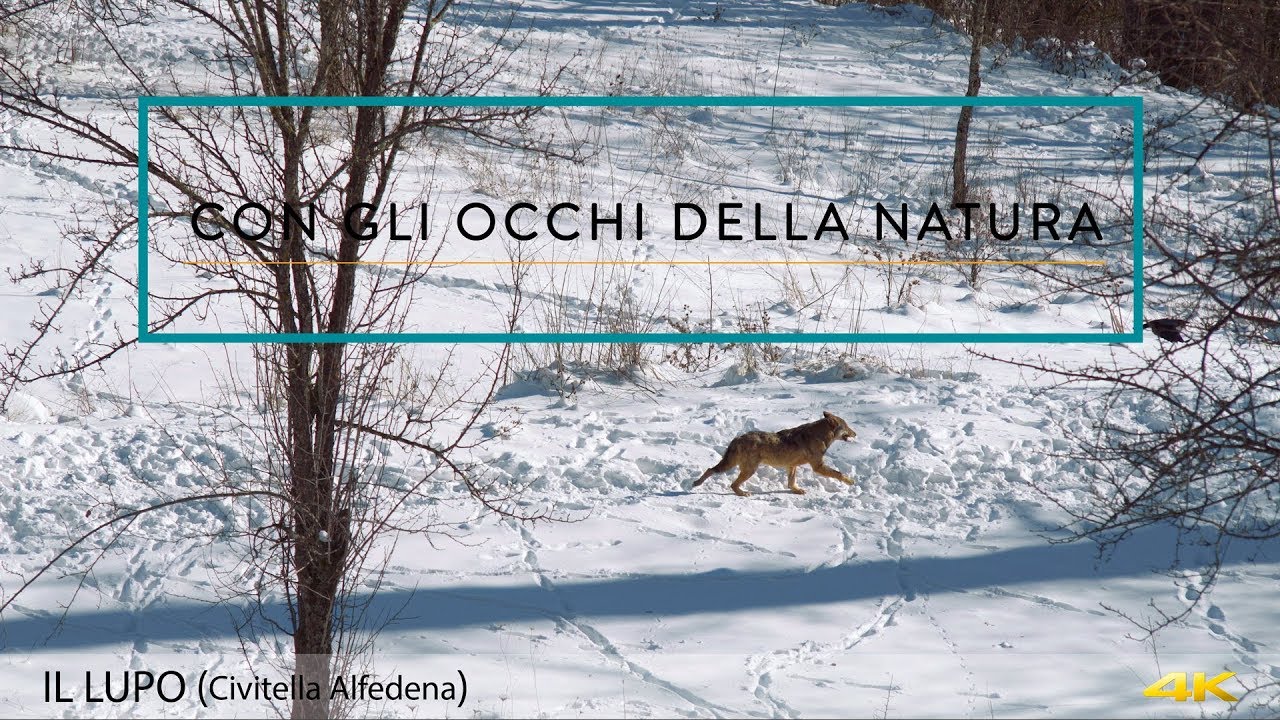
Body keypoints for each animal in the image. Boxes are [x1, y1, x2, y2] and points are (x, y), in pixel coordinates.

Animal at [692, 411, 857, 497]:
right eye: (847, 427)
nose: (856, 433)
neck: (820, 435)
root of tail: (738, 438)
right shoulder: (818, 466)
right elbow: (839, 474)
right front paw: (850, 482)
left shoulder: (792, 466)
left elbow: (791, 483)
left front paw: (796, 490)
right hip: (748, 469)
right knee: (729, 482)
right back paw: (742, 493)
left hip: (736, 465)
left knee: (712, 471)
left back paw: (697, 483)